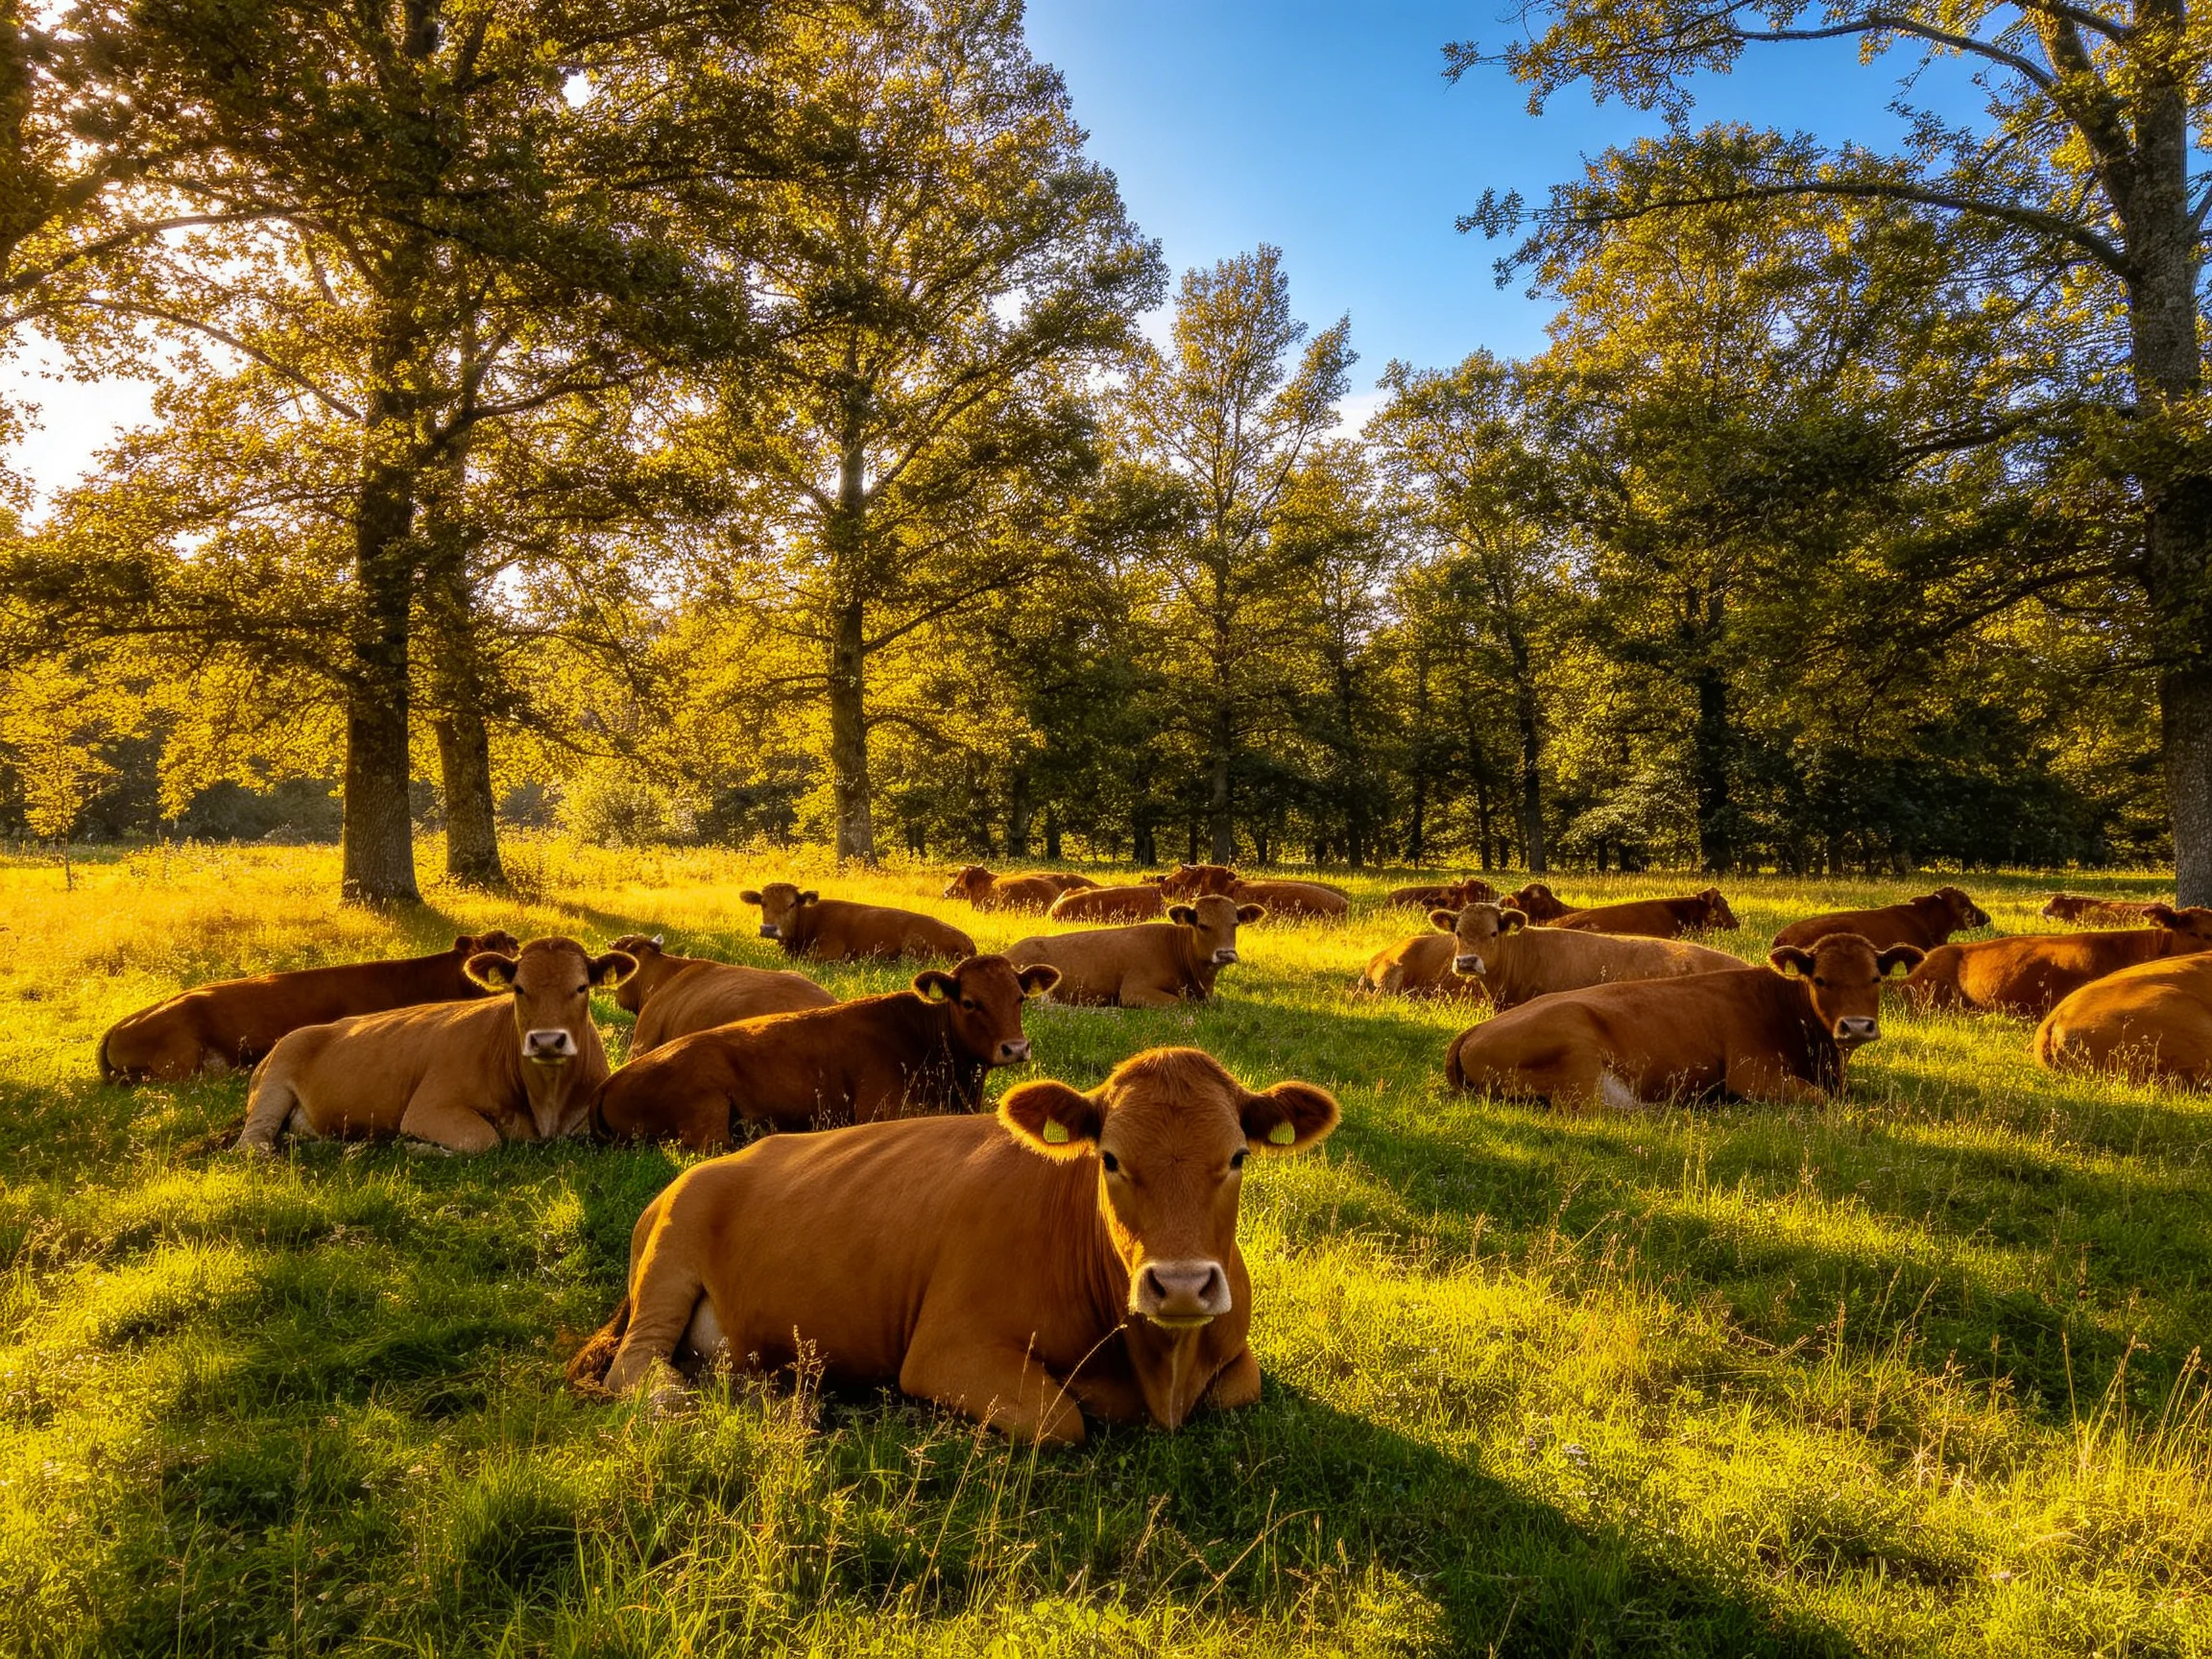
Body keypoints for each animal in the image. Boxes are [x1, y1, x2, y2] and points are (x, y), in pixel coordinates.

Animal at [237, 936, 635, 1154]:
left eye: (581, 987)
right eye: (519, 988)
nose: (547, 1040)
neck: (546, 1104)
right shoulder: (429, 1108)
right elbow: (483, 1138)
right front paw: (414, 1146)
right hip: (273, 1082)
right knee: (253, 1141)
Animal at [564, 1046, 1341, 1444]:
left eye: (1237, 1156)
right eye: (1111, 1159)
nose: (1180, 1285)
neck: (1160, 1369)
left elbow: (1241, 1386)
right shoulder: (947, 1352)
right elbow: (1061, 1419)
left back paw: (783, 1399)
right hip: (670, 1256)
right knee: (638, 1368)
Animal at [591, 955, 1059, 1150]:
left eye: (1019, 997)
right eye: (969, 1002)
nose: (1015, 1048)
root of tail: (610, 1081)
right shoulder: (881, 1109)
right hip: (705, 1113)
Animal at [1445, 932, 1922, 1110]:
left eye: (1876, 977)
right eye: (1820, 979)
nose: (1856, 1026)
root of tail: (1472, 1032)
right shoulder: (1753, 1076)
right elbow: (1822, 1101)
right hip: (1575, 1052)